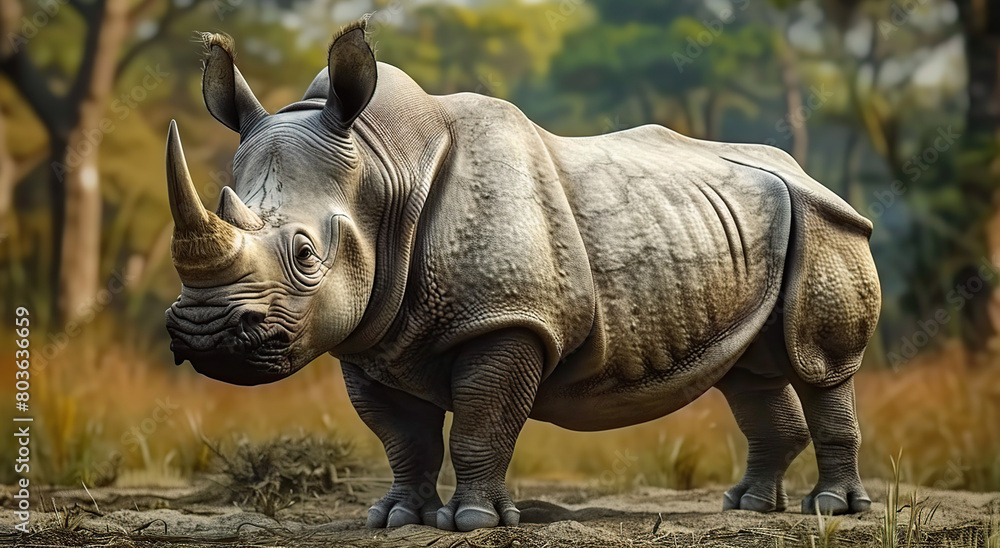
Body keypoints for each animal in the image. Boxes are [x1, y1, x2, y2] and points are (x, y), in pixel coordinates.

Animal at [165, 21, 881, 531]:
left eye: (307, 256)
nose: (203, 333)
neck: (385, 167)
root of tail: (813, 177)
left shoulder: (509, 318)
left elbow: (483, 421)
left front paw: (475, 521)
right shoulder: (368, 334)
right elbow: (401, 436)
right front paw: (395, 518)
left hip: (828, 224)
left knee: (820, 366)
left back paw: (832, 510)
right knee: (750, 373)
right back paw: (748, 508)